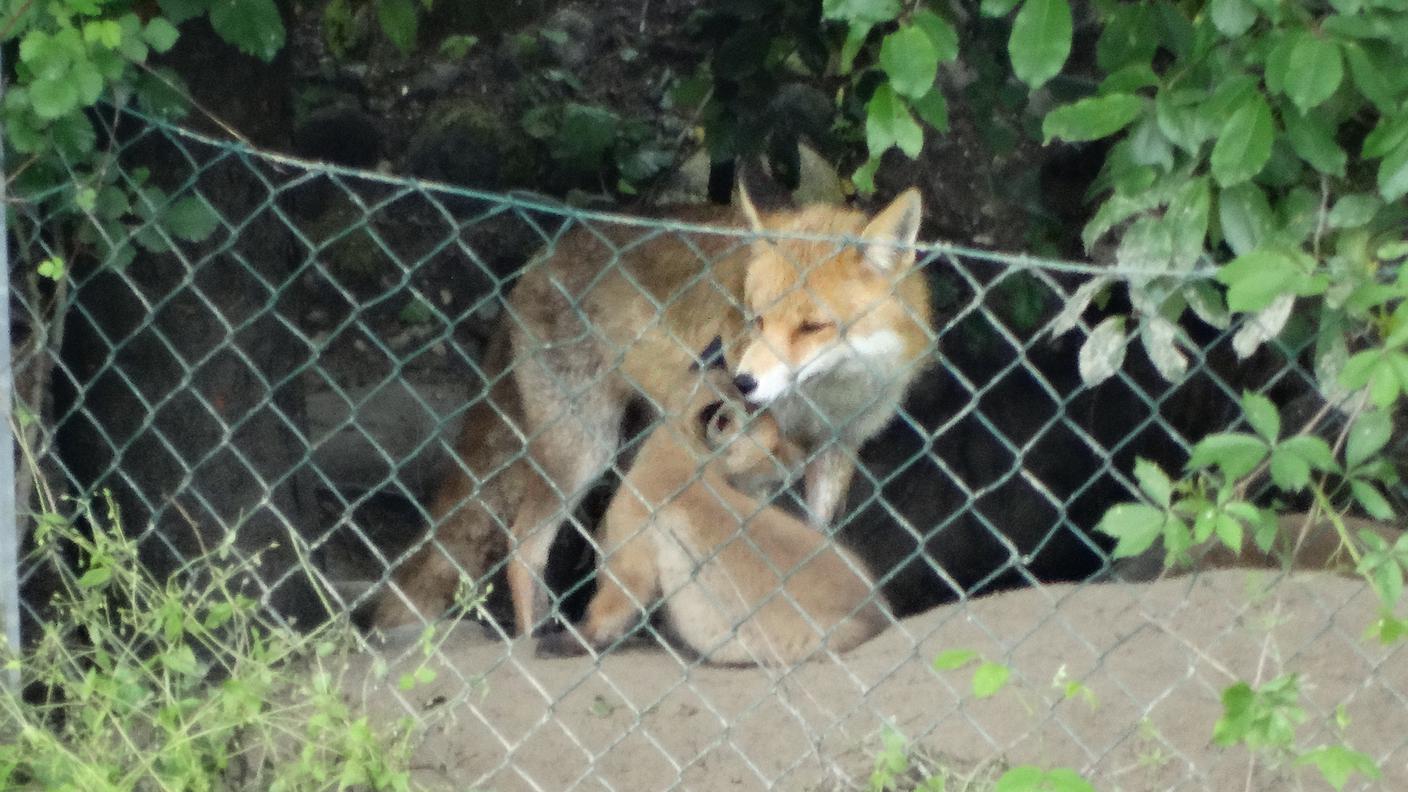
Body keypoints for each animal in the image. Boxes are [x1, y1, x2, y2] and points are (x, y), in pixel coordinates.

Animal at [377, 187, 934, 631]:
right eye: (755, 319)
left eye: (813, 326)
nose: (742, 381)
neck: (828, 398)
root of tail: (541, 258)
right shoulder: (749, 451)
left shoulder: (837, 449)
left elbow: (814, 537)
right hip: (585, 446)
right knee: (523, 550)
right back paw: (532, 642)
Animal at [532, 366, 884, 662]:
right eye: (775, 447)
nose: (802, 458)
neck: (681, 465)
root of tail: (880, 615)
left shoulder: (629, 571)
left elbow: (604, 619)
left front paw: (562, 642)